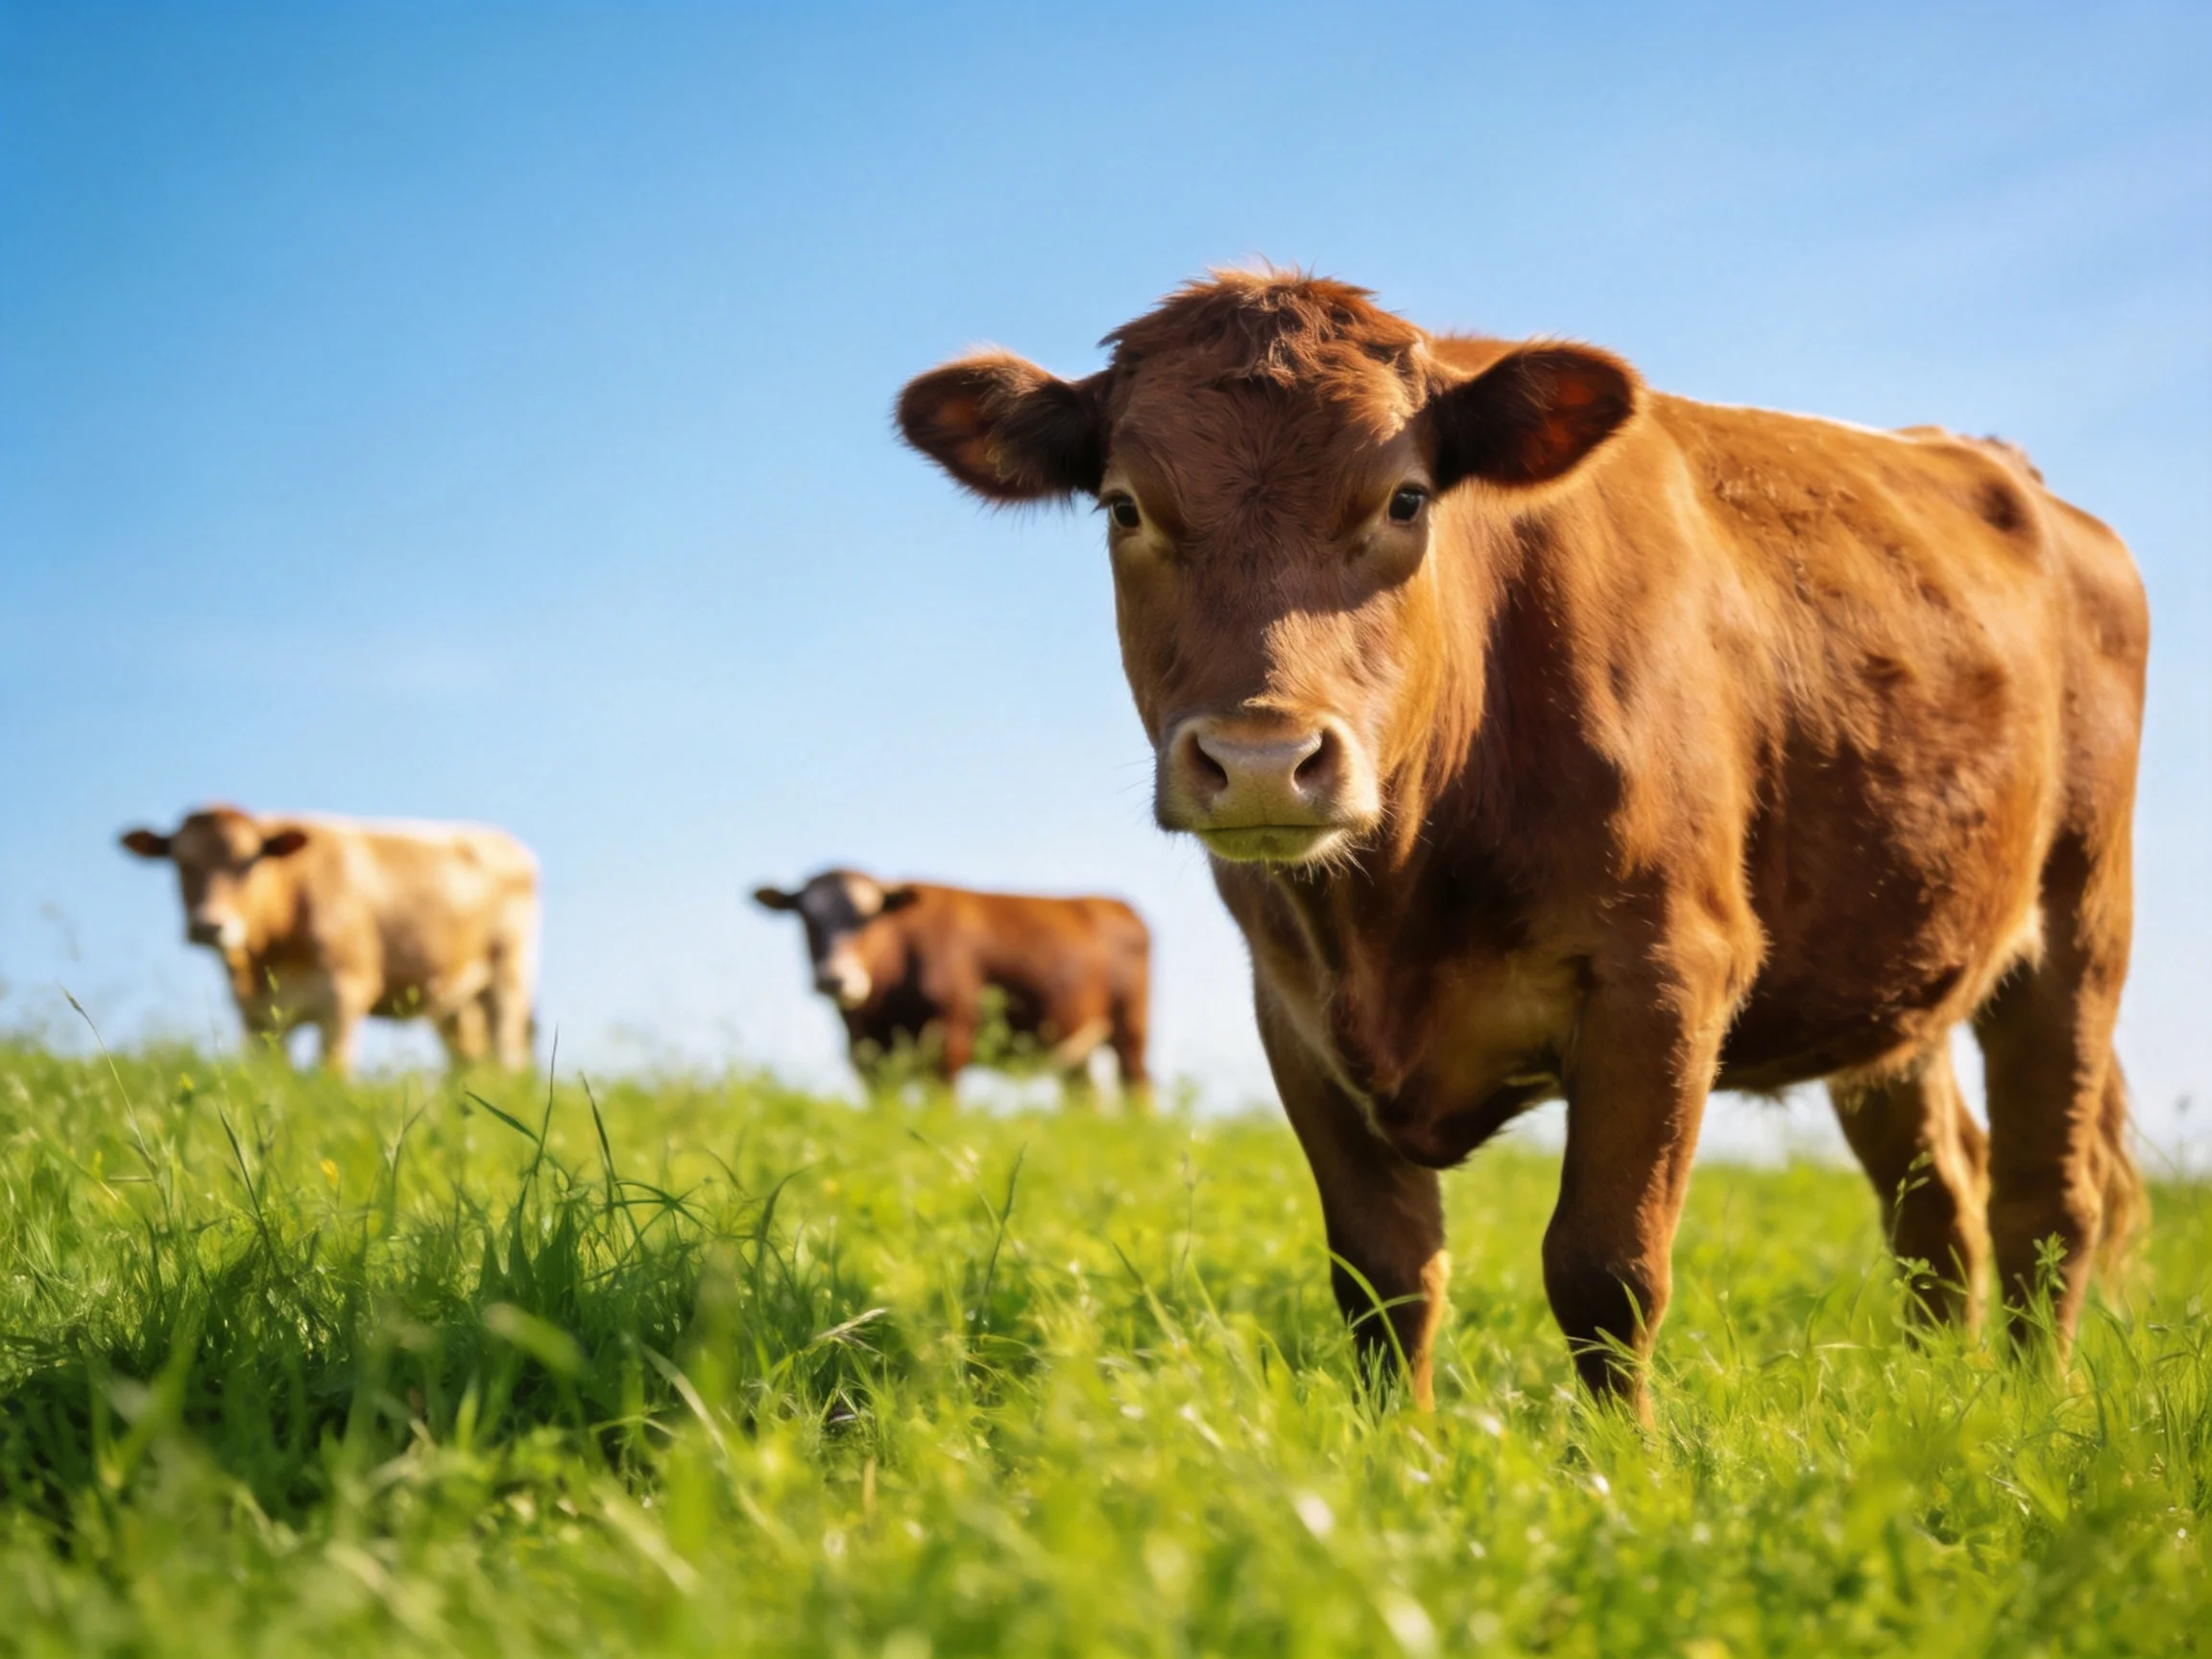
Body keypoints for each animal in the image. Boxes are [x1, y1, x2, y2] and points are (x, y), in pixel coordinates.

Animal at [121, 805, 541, 1074]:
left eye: (249, 862)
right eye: (179, 862)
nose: (209, 926)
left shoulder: (345, 993)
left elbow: (331, 1073)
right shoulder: (256, 1015)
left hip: (507, 976)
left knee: (507, 1052)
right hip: (454, 998)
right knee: (467, 1057)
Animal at [753, 868, 1151, 1104]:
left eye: (867, 918)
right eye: (806, 918)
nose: (834, 978)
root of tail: (1115, 904)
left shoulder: (950, 1041)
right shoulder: (868, 1056)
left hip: (1130, 1030)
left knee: (1136, 1084)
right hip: (1075, 1045)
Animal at [897, 270, 2148, 1416]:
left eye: (1405, 500)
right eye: (1124, 508)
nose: (1262, 757)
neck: (1393, 905)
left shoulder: (1666, 973)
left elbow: (1607, 1271)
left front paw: (1621, 1477)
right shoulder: (1292, 1010)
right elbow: (1386, 1276)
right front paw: (1399, 1462)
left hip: (2080, 921)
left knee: (2050, 1194)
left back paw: (2031, 1413)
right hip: (1896, 976)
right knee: (1938, 1201)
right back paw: (1940, 1407)